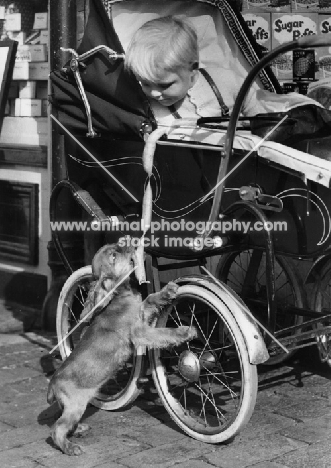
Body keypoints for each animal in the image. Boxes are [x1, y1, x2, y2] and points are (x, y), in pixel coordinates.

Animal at [47, 243, 197, 456]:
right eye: (114, 255)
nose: (127, 243)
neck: (120, 296)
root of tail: (53, 383)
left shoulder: (143, 311)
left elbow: (150, 298)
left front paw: (167, 291)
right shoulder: (140, 332)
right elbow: (163, 332)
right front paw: (185, 331)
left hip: (69, 406)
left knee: (60, 420)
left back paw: (78, 430)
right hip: (76, 404)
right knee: (57, 428)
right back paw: (70, 447)